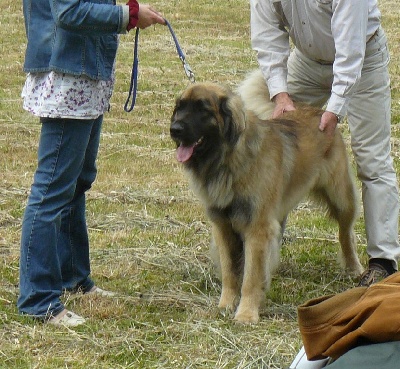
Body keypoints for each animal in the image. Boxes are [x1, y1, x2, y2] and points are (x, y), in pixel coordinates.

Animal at [169, 69, 362, 322]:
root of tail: (319, 112)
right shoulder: (223, 225)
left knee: (346, 233)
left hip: (341, 197)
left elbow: (250, 277)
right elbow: (230, 272)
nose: (174, 129)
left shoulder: (257, 227)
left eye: (203, 109)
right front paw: (226, 305)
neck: (228, 160)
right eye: (180, 107)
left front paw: (246, 314)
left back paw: (353, 267)